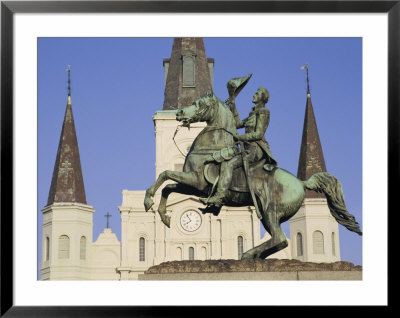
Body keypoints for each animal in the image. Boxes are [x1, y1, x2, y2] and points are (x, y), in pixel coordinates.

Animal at [145, 92, 362, 260]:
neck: (210, 147)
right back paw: (255, 255)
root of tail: (301, 183)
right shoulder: (193, 186)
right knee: (277, 241)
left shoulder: (196, 182)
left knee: (279, 238)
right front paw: (163, 214)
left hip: (269, 212)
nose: (179, 113)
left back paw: (248, 253)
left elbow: (165, 175)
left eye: (199, 103)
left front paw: (148, 201)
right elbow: (167, 187)